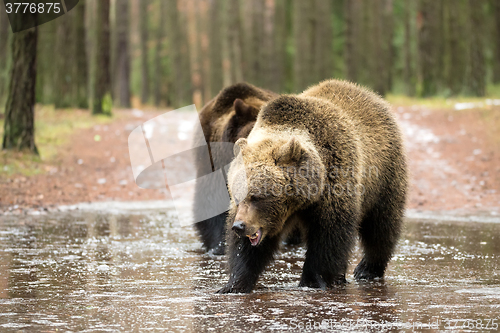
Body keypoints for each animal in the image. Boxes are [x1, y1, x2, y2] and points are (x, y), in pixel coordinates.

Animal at [218, 79, 406, 292]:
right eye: (237, 196)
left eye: (257, 196)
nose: (239, 226)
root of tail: (369, 94)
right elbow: (246, 251)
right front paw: (233, 284)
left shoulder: (335, 182)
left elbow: (329, 236)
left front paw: (312, 280)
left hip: (383, 174)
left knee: (381, 224)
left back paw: (367, 269)